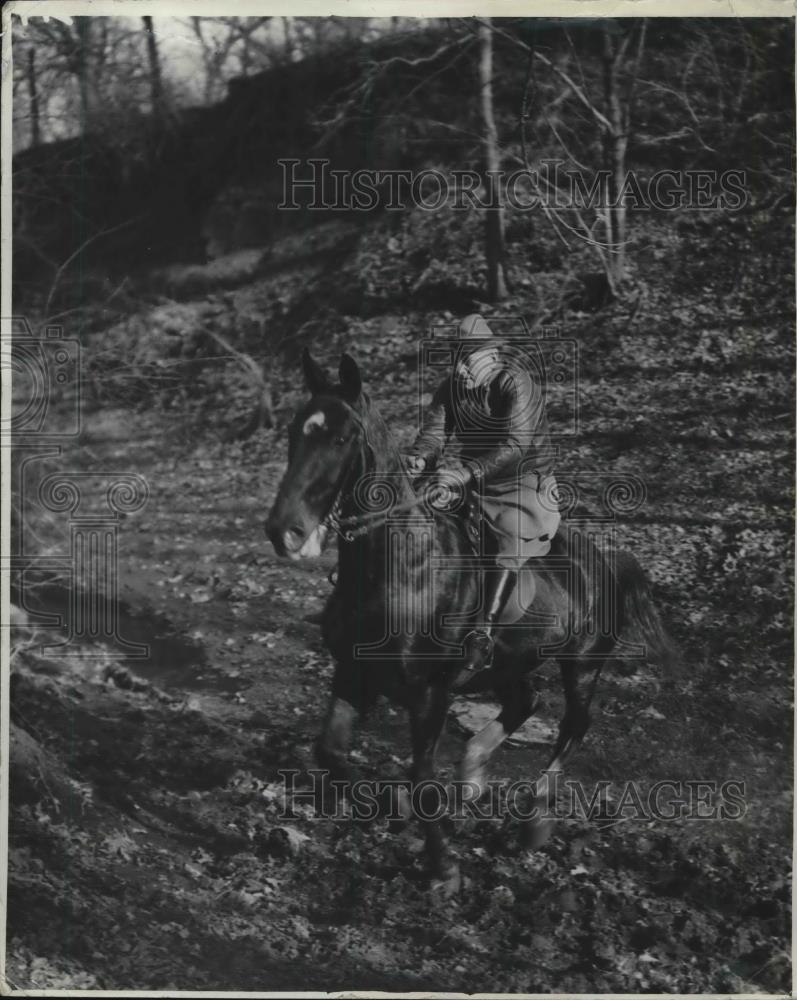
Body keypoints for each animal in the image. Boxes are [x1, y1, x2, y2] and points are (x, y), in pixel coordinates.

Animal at [266, 350, 672, 892]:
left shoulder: (429, 693)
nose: (284, 532)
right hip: (508, 663)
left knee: (573, 724)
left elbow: (420, 778)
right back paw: (472, 774)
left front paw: (444, 867)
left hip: (583, 664)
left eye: (341, 439)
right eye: (295, 432)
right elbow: (330, 752)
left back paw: (534, 821)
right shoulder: (352, 675)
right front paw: (394, 807)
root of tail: (606, 560)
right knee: (526, 700)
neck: (399, 568)